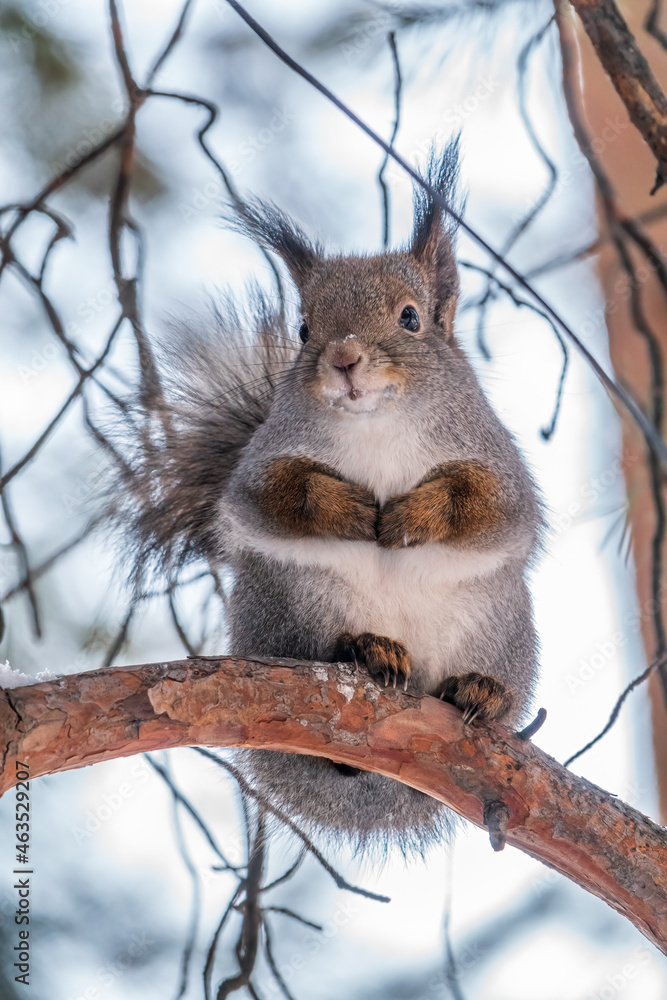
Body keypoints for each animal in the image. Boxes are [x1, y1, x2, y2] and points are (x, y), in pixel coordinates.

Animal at [112, 140, 543, 854]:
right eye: (305, 327)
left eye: (411, 317)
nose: (344, 359)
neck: (376, 423)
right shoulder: (259, 470)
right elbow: (278, 497)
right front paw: (351, 509)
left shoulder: (497, 468)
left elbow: (483, 508)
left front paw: (412, 513)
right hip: (295, 605)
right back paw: (366, 650)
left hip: (497, 622)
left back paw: (483, 693)